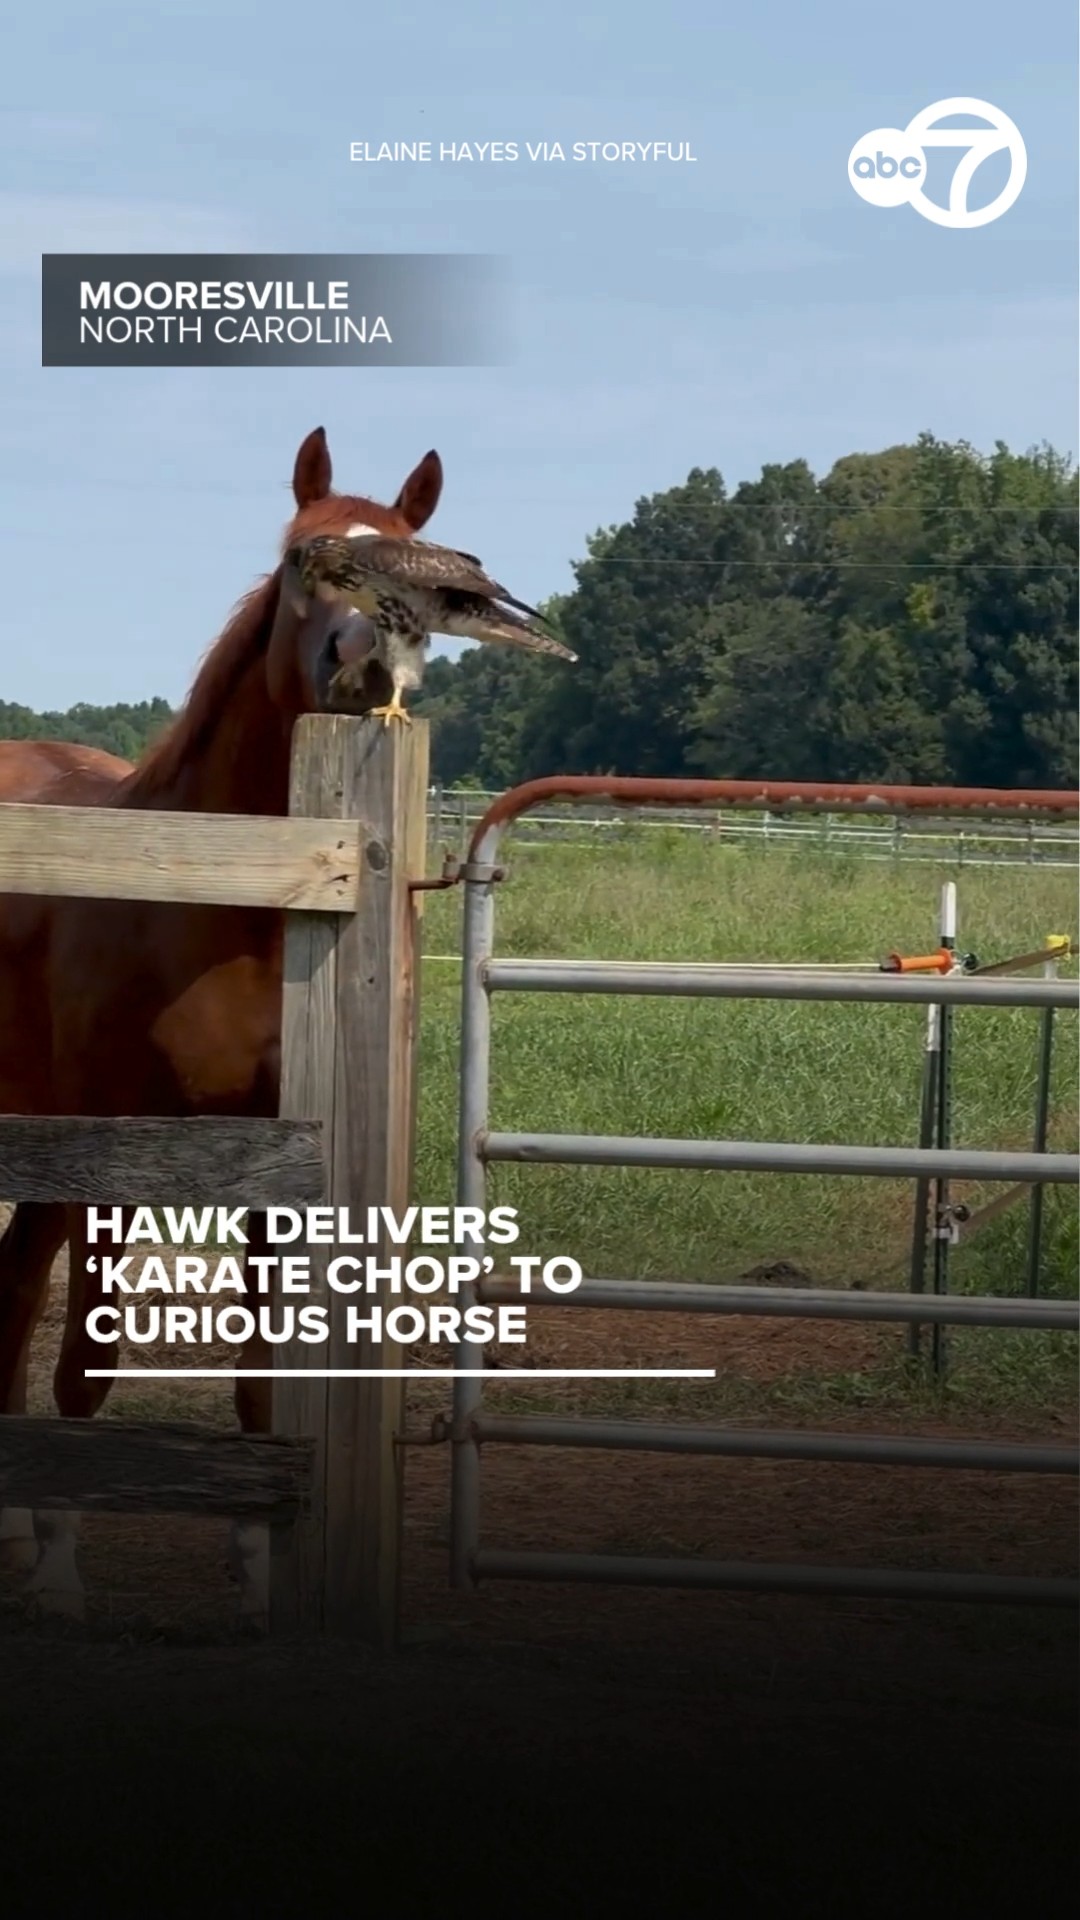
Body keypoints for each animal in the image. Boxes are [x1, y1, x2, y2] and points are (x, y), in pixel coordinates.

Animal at [0, 425, 444, 1621]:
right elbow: (88, 1362)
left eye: (412, 573)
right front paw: (60, 1567)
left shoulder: (277, 1168)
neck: (229, 894)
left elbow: (260, 1380)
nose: (364, 666)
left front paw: (257, 1565)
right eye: (301, 560)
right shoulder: (112, 1153)